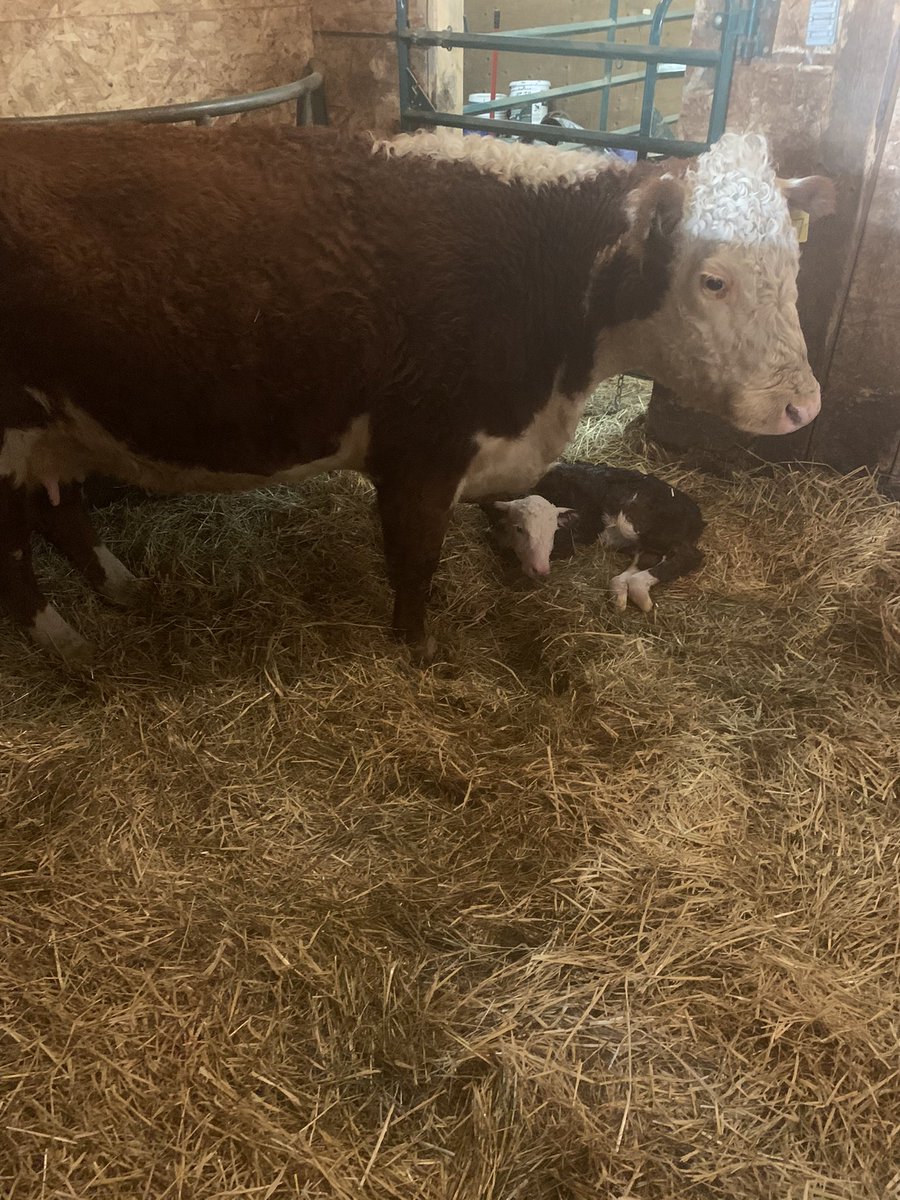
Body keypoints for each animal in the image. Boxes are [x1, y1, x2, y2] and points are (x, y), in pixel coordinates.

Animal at [0, 123, 833, 666]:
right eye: (713, 279)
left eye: (795, 266)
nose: (803, 407)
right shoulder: (424, 449)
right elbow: (416, 558)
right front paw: (417, 647)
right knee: (13, 547)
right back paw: (62, 641)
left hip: (55, 425)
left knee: (60, 513)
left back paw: (120, 588)